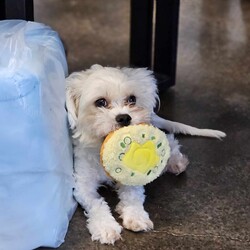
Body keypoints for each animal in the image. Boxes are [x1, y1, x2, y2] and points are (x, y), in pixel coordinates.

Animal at [65, 64, 226, 244]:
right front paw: (105, 227)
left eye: (132, 99)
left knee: (170, 140)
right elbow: (96, 204)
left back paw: (176, 162)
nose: (124, 117)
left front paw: (136, 216)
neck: (104, 150)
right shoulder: (82, 185)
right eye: (100, 102)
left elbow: (133, 196)